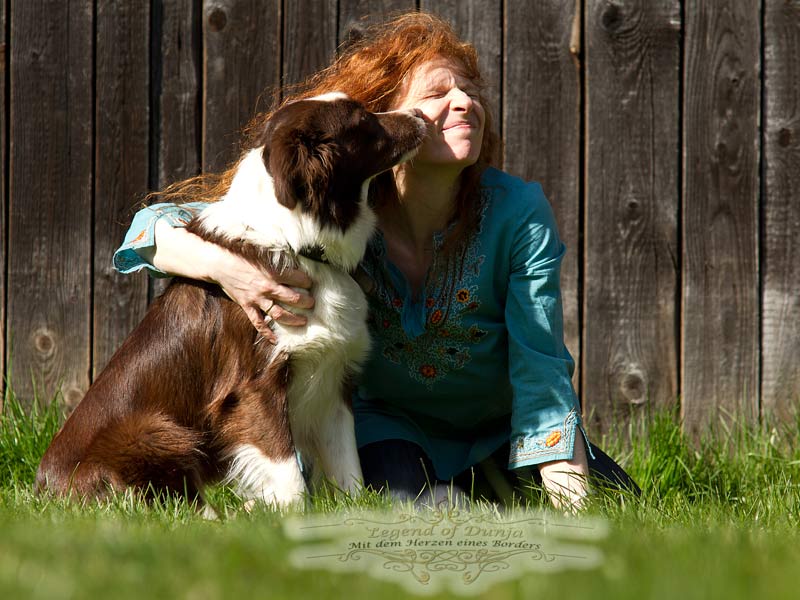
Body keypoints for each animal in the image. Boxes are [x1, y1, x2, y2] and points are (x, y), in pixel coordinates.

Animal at [36, 92, 428, 506]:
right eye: (364, 120)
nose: (420, 114)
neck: (297, 243)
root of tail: (43, 485)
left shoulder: (332, 378)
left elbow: (349, 468)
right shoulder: (255, 389)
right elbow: (289, 478)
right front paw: (293, 517)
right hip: (156, 431)